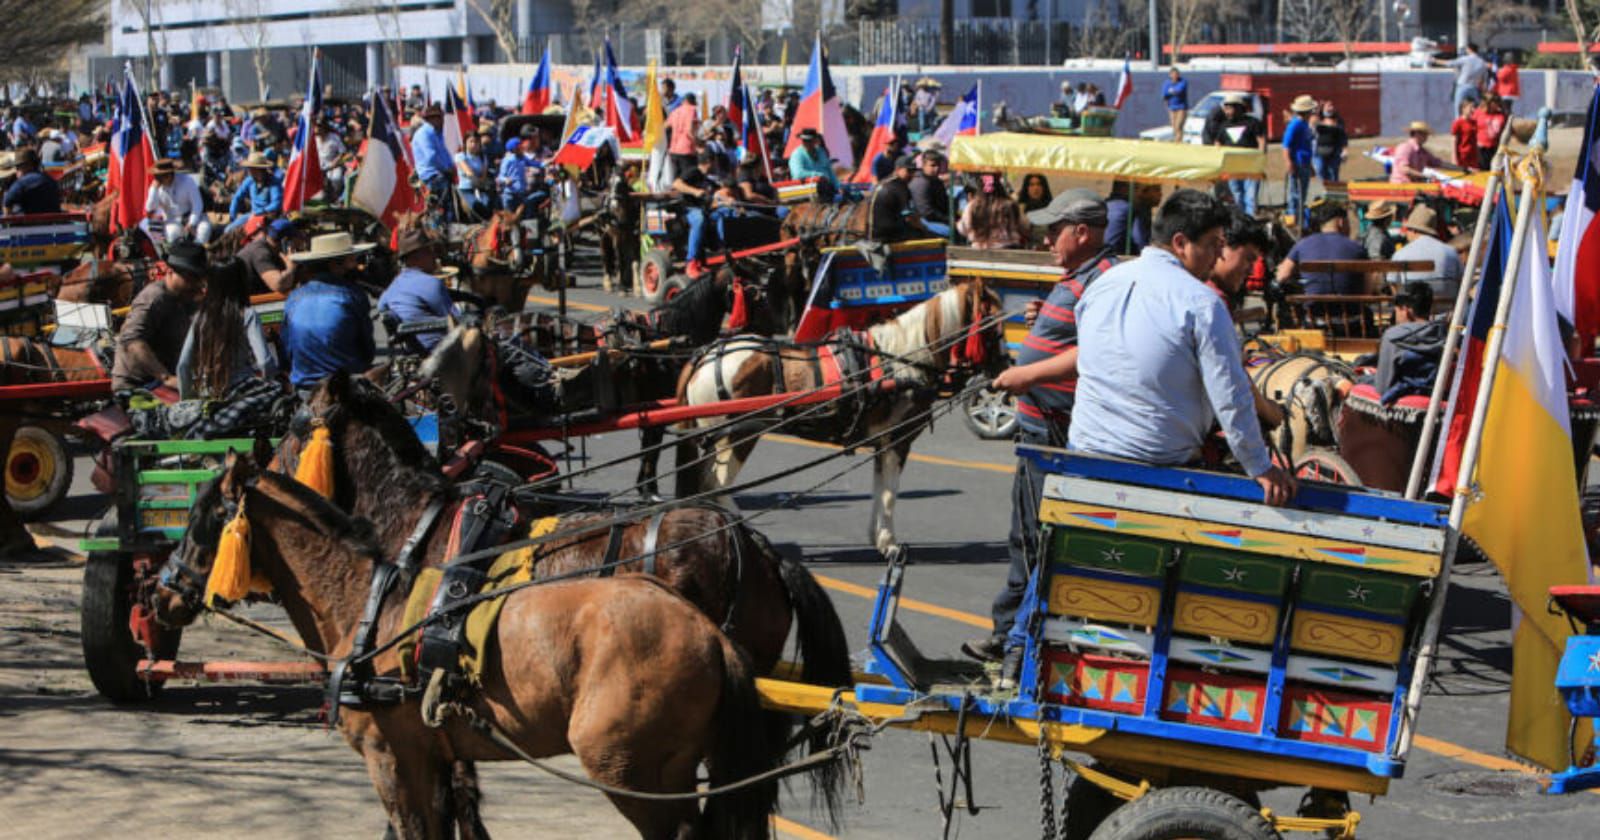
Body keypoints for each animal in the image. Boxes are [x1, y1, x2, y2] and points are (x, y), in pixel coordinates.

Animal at [151, 451, 780, 838]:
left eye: (202, 515)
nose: (162, 593)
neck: (369, 599)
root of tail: (707, 633)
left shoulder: (391, 758)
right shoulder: (434, 758)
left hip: (628, 770)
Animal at [672, 281, 998, 556]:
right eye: (993, 326)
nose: (1003, 366)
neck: (900, 363)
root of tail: (704, 358)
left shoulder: (881, 442)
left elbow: (879, 489)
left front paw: (876, 538)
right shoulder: (898, 440)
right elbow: (890, 493)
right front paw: (889, 543)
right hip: (737, 436)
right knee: (716, 484)